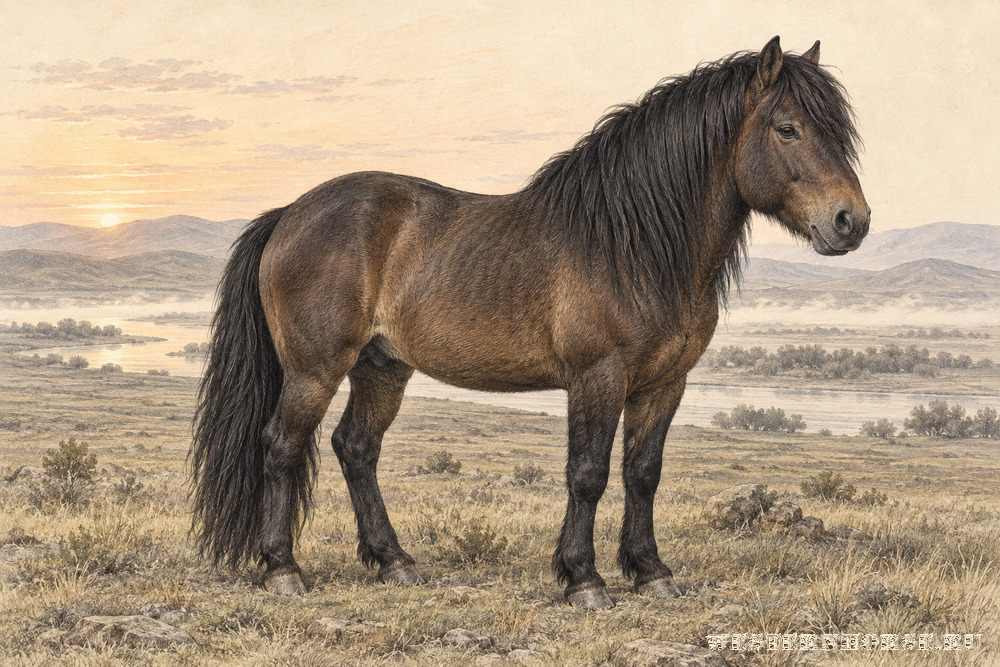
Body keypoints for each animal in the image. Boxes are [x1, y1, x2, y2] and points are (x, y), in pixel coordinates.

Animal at [191, 36, 869, 610]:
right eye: (788, 129)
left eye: (839, 133)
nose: (850, 221)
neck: (631, 245)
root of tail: (289, 214)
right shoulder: (598, 378)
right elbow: (589, 475)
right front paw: (584, 580)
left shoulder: (663, 384)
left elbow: (642, 474)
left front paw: (650, 573)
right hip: (315, 368)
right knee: (282, 446)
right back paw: (283, 570)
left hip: (382, 368)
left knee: (356, 449)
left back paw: (395, 562)